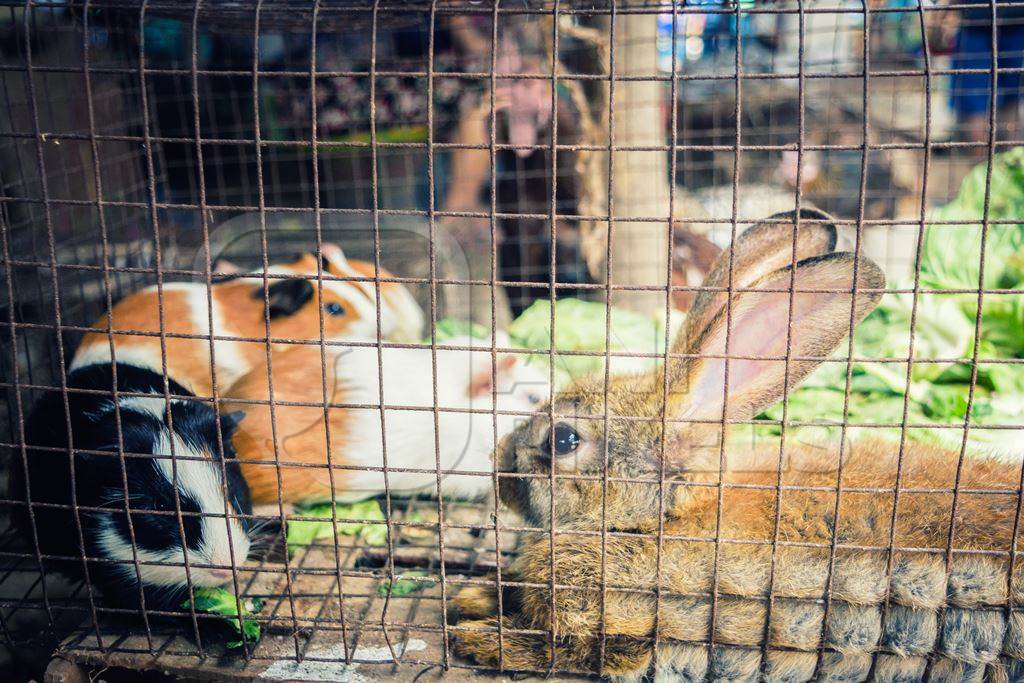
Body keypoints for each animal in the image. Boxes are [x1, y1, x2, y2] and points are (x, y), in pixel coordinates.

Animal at [456, 210, 1024, 679]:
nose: (500, 473)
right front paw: (477, 594)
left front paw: (479, 636)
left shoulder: (630, 631)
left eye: (564, 439)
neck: (662, 517)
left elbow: (565, 649)